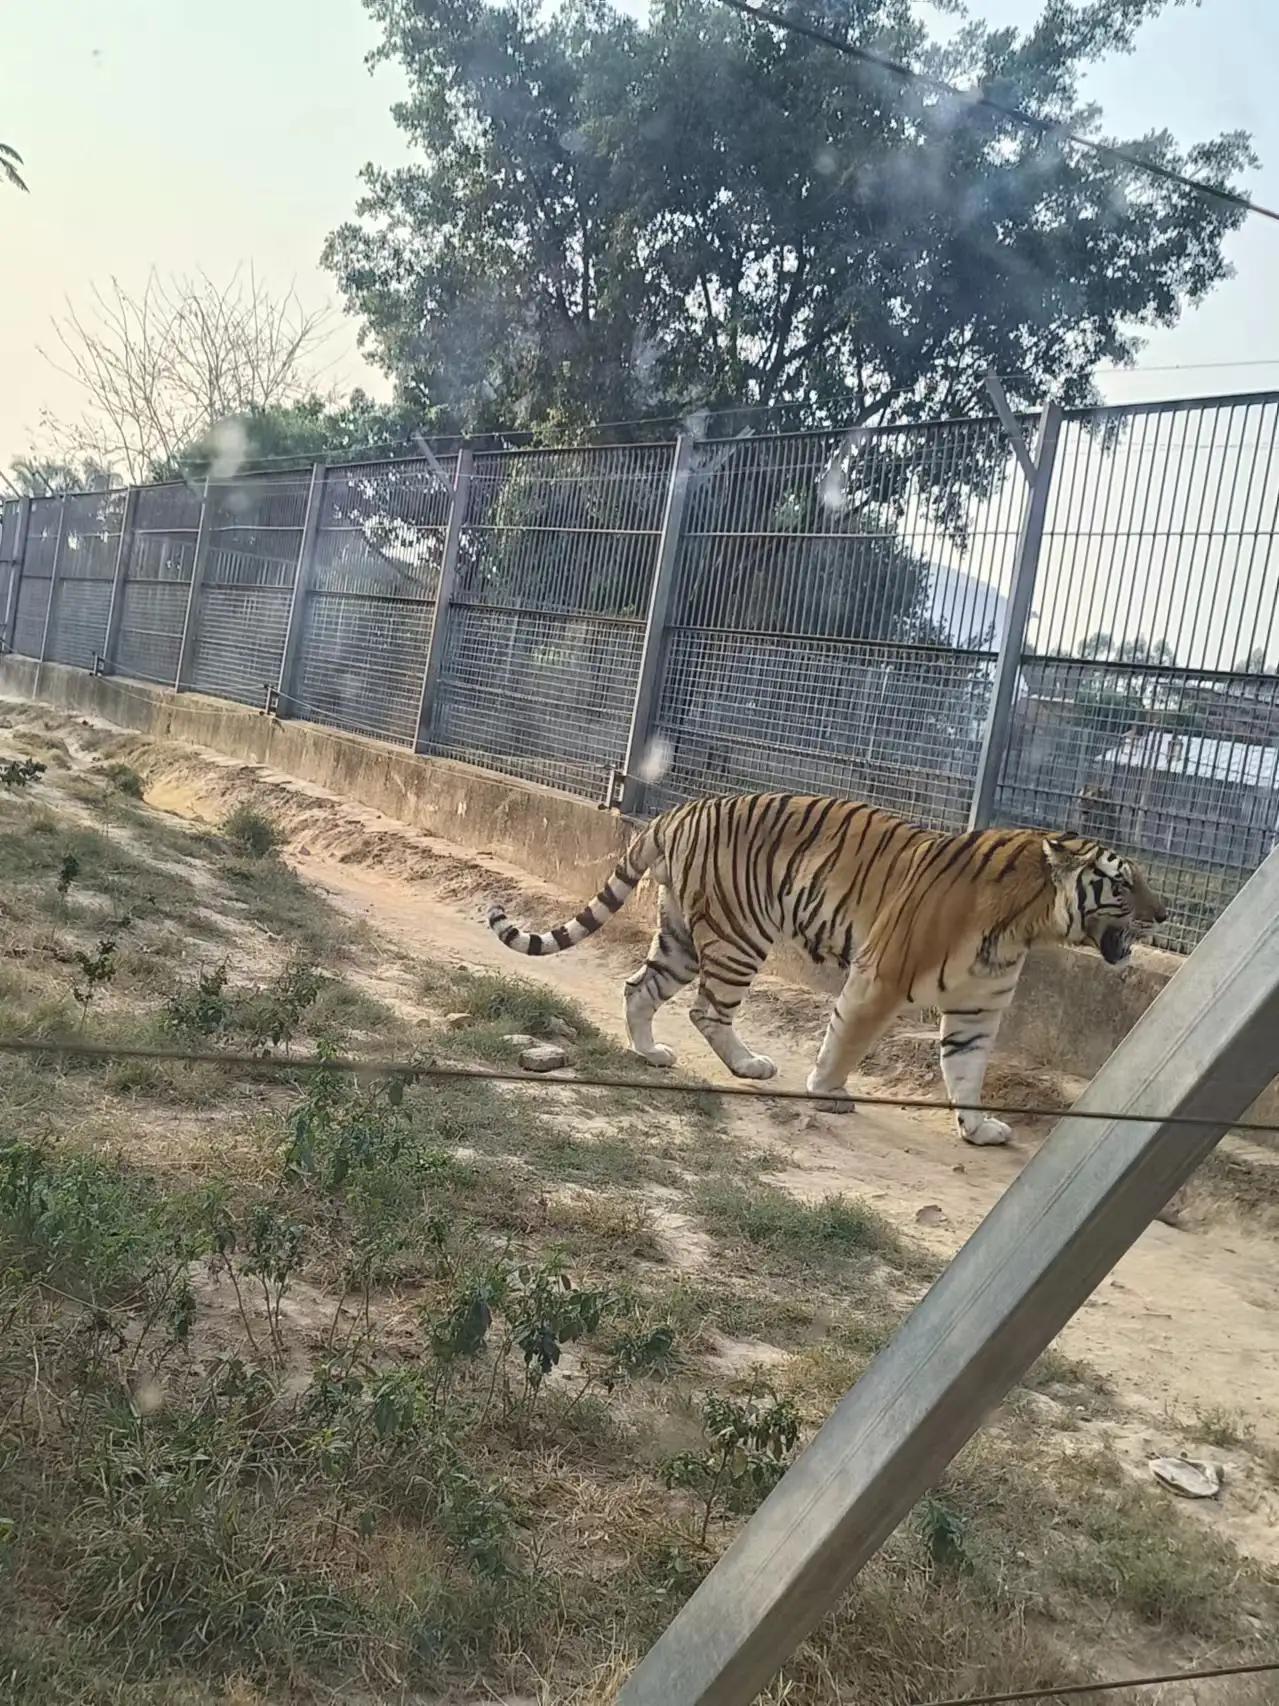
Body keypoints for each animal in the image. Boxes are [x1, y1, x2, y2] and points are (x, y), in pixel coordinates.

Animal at [491, 788, 1173, 1146]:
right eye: (1123, 884)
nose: (1164, 914)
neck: (1029, 924)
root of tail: (679, 810)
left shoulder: (978, 1010)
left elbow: (968, 1072)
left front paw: (978, 1129)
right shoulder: (881, 976)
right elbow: (847, 1039)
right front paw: (827, 1092)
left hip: (682, 935)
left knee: (640, 986)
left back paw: (649, 1053)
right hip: (738, 934)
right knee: (707, 1009)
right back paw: (749, 1066)